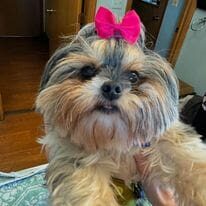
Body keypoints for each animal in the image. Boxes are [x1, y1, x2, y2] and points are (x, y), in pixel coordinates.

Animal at [36, 7, 206, 205]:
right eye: (87, 70)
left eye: (133, 77)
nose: (111, 88)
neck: (111, 137)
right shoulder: (73, 157)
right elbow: (87, 186)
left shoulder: (165, 138)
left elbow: (186, 156)